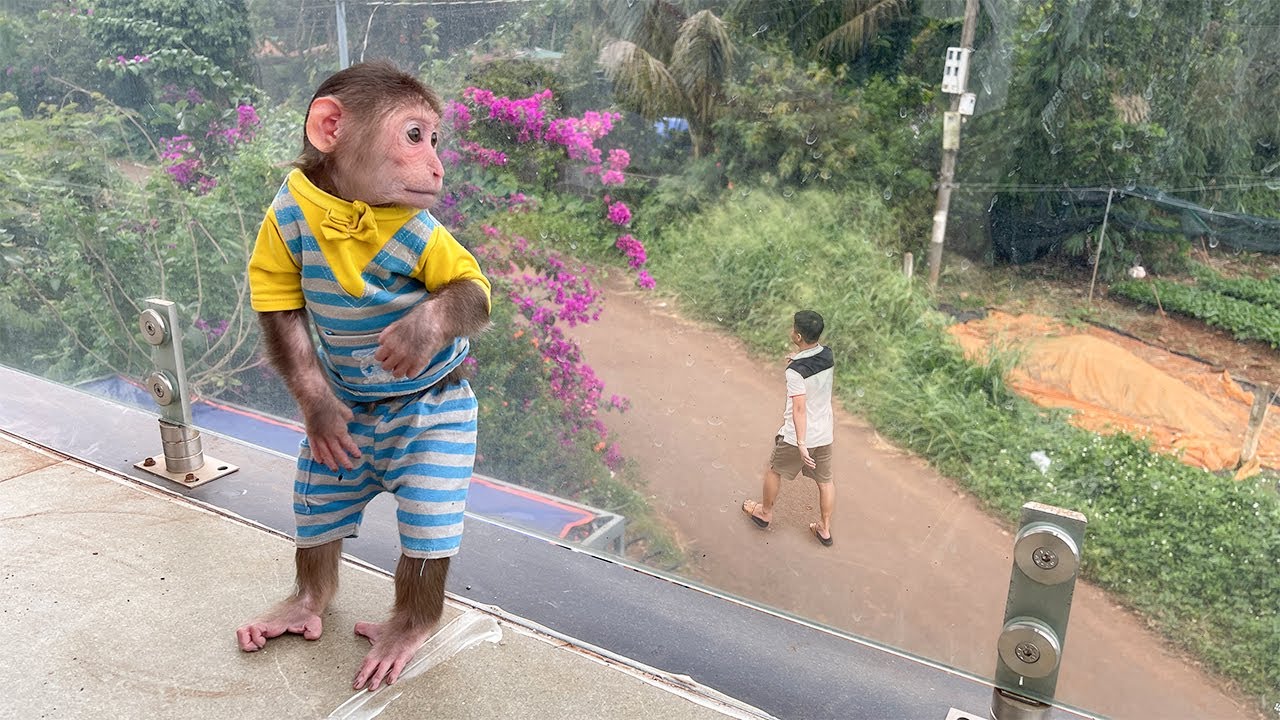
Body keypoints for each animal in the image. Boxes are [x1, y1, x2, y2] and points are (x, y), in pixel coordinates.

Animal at [236, 61, 491, 693]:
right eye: (416, 136)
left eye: (434, 138)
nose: (436, 167)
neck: (352, 207)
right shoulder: (278, 218)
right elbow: (280, 310)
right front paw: (324, 412)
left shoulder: (424, 230)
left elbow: (469, 290)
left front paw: (415, 334)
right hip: (331, 478)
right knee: (318, 516)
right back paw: (305, 602)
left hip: (438, 432)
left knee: (427, 516)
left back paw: (410, 627)